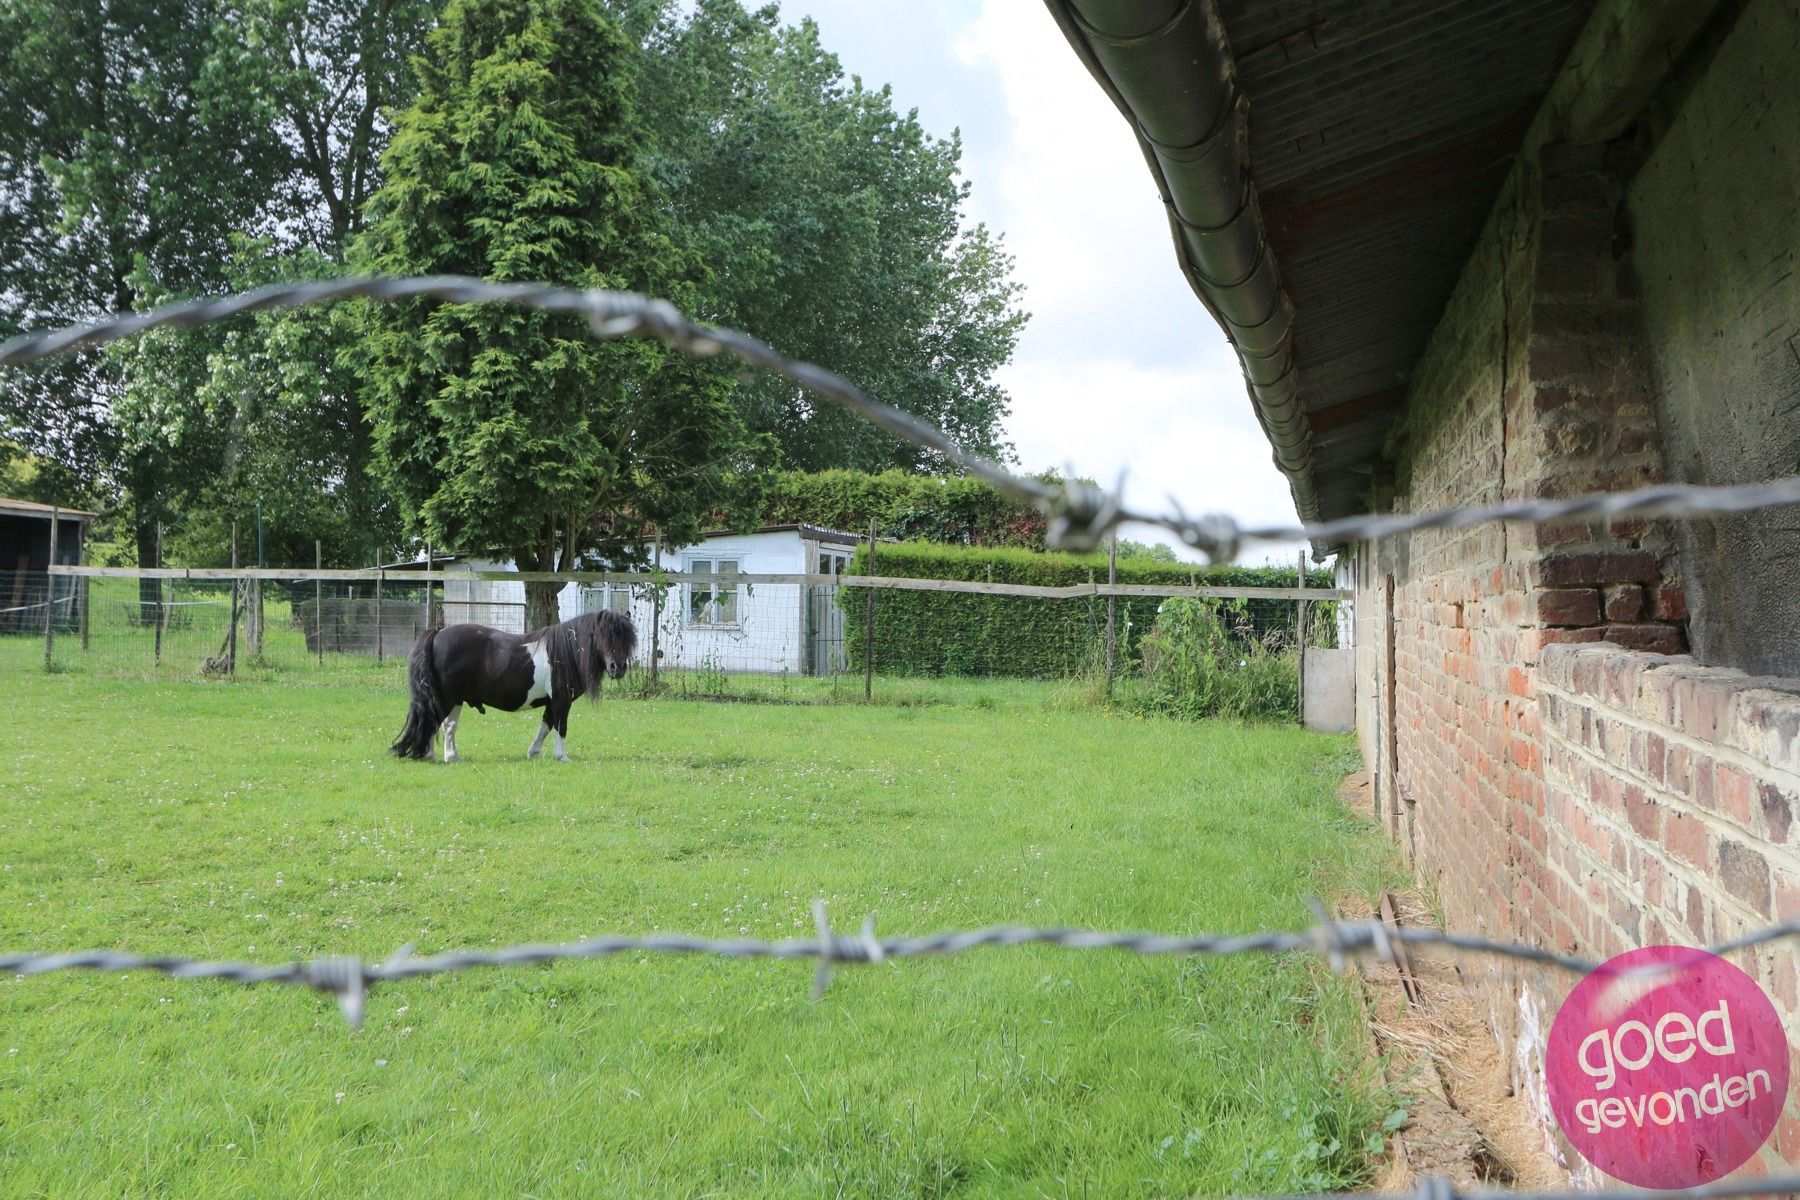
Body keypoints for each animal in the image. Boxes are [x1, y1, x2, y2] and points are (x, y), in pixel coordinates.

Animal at [390, 615, 637, 766]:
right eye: (604, 635)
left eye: (627, 639)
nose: (617, 668)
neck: (566, 651)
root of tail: (437, 634)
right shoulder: (561, 700)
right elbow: (560, 727)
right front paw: (562, 756)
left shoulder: (552, 702)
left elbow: (545, 726)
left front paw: (533, 753)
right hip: (447, 698)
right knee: (435, 723)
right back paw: (438, 755)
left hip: (453, 699)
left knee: (444, 725)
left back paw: (444, 755)